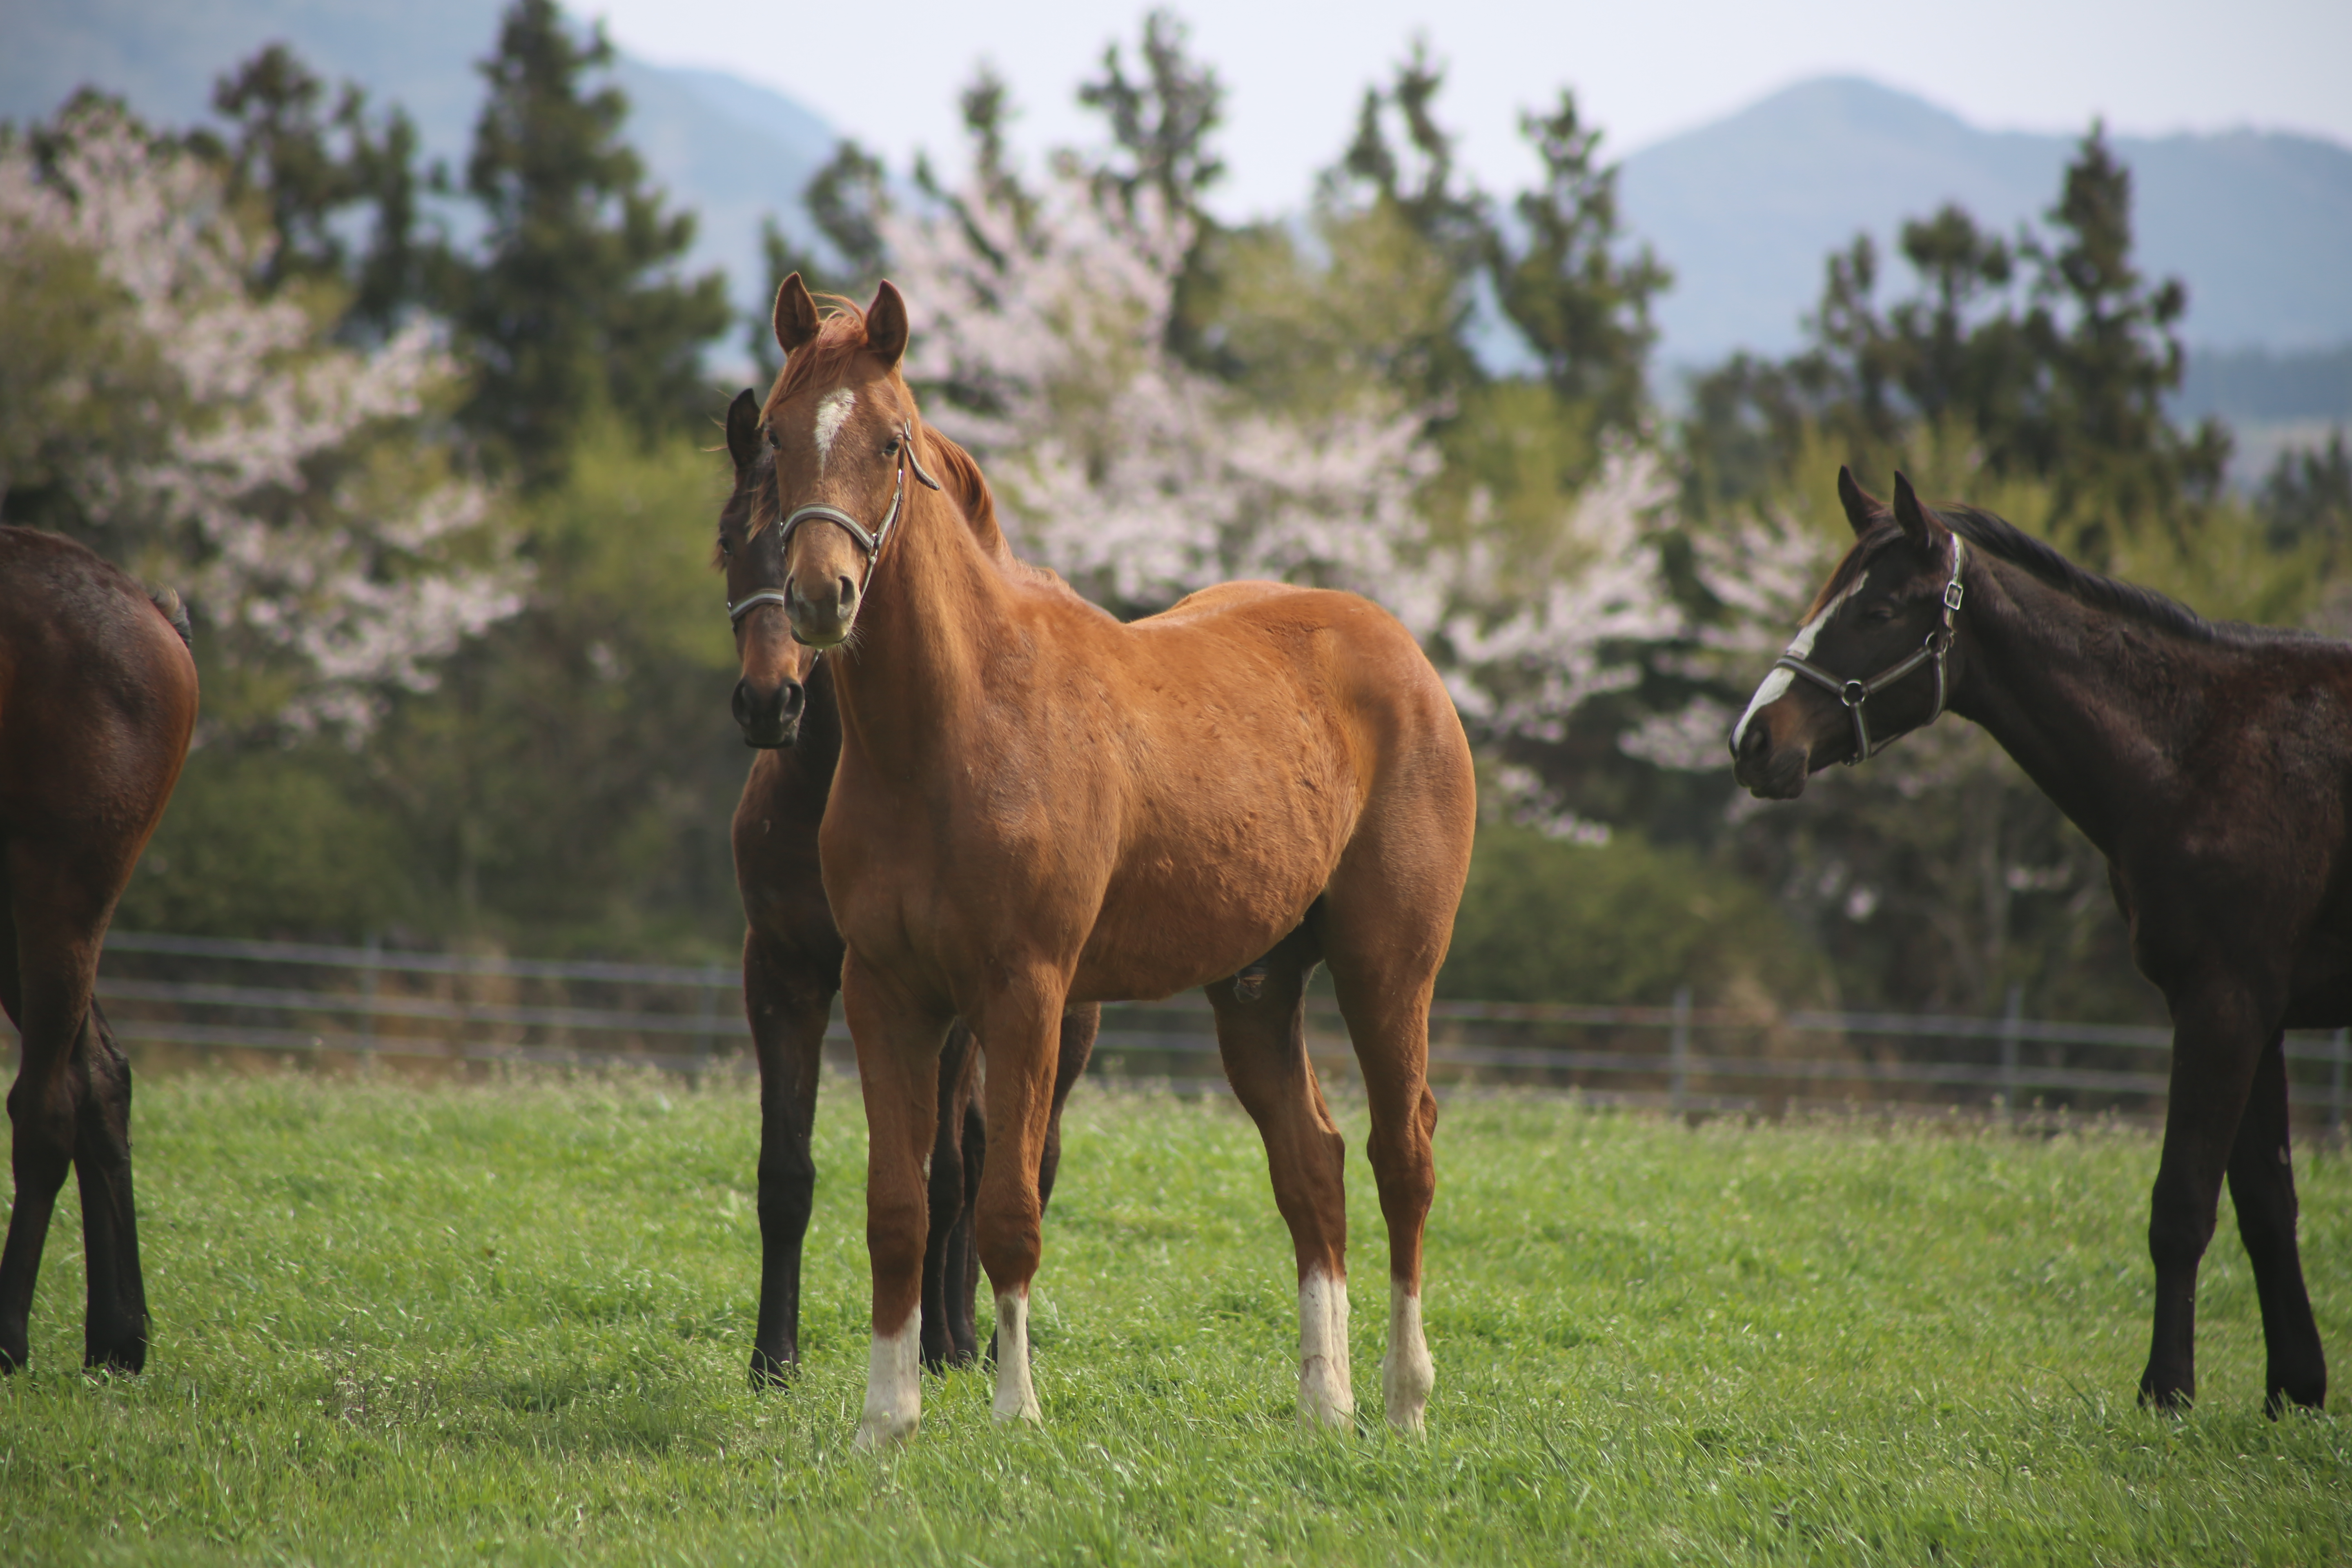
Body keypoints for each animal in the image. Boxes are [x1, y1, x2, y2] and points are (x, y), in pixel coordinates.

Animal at [710, 383, 1096, 1382]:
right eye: (729, 542)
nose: (769, 702)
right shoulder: (781, 973)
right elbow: (786, 1172)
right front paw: (773, 1358)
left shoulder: (952, 996)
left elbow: (950, 1173)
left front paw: (943, 1343)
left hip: (1065, 1018)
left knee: (1017, 1157)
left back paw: (972, 1340)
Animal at [762, 278, 1477, 1448]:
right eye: (775, 436)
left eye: (890, 440)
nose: (822, 598)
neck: (951, 728)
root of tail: (1403, 655)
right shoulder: (885, 994)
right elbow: (897, 1210)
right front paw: (885, 1423)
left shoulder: (1027, 992)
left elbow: (1008, 1207)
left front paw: (1016, 1413)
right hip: (1256, 987)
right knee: (1313, 1163)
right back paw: (1322, 1402)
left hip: (1388, 968)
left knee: (1399, 1154)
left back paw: (1405, 1398)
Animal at [1731, 472, 2333, 1420]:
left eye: (1880, 610)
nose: (1754, 740)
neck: (2198, 749)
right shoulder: (2255, 1010)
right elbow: (2268, 1206)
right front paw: (2296, 1393)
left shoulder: (2223, 1002)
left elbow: (2183, 1205)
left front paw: (2166, 1393)